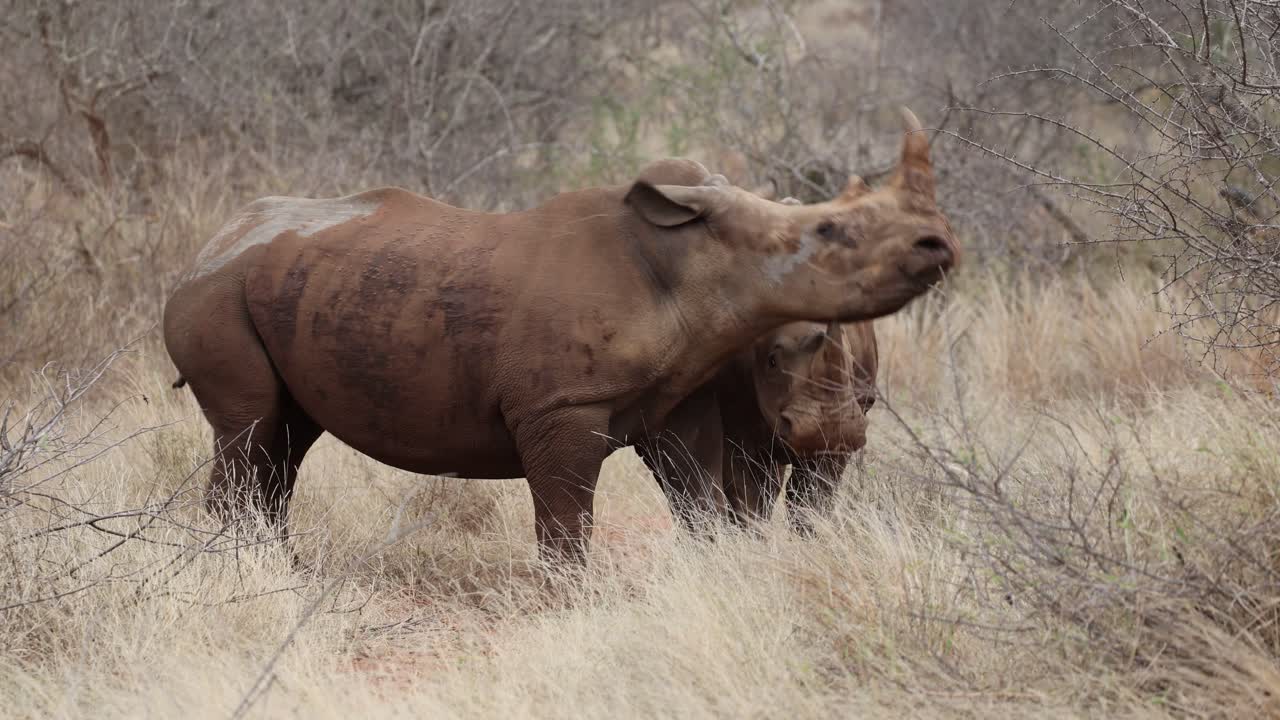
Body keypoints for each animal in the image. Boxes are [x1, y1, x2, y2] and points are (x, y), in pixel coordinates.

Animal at [162, 108, 956, 564]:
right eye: (831, 233)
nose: (938, 245)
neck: (690, 256)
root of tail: (208, 246)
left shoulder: (678, 398)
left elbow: (700, 501)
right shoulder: (559, 405)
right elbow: (567, 519)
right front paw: (566, 604)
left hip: (283, 286)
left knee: (286, 436)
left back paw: (278, 570)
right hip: (215, 296)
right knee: (248, 427)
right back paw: (239, 571)